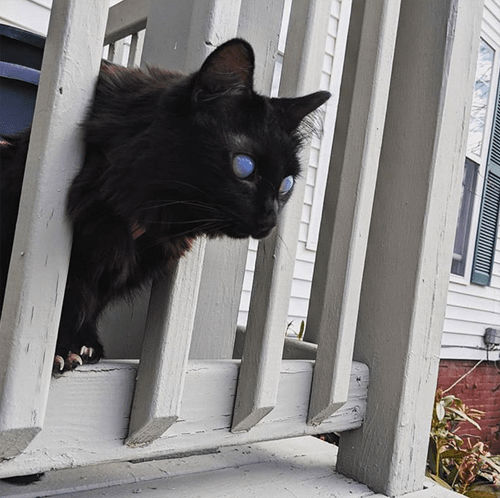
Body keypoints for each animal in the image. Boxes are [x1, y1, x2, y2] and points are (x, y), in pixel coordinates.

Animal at [0, 39, 332, 372]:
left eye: (286, 184)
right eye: (244, 165)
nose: (270, 220)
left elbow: (89, 305)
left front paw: (84, 344)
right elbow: (66, 300)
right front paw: (61, 349)